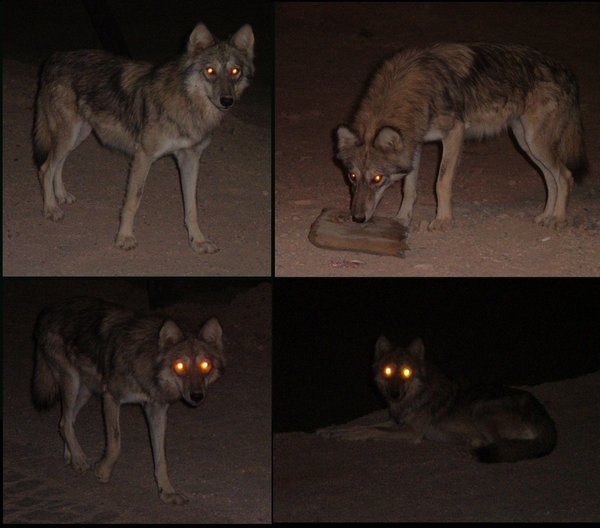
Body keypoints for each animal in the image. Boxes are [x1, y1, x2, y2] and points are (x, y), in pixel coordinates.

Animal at [32, 296, 225, 504]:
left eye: (205, 365)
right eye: (180, 366)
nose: (197, 396)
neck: (148, 365)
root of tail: (49, 309)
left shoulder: (157, 410)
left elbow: (161, 458)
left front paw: (166, 492)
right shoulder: (111, 397)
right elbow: (115, 444)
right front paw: (103, 471)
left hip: (86, 391)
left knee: (65, 422)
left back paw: (71, 455)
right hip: (72, 382)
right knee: (65, 422)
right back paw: (79, 459)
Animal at [33, 20, 253, 252]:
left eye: (235, 71)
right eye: (210, 71)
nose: (227, 101)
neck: (187, 103)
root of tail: (55, 57)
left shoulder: (191, 159)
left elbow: (192, 206)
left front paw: (198, 240)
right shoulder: (143, 156)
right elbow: (132, 202)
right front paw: (124, 237)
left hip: (77, 136)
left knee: (58, 164)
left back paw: (61, 196)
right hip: (69, 135)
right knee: (45, 168)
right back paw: (51, 208)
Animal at [318, 336, 556, 464]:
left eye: (406, 372)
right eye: (388, 371)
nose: (394, 394)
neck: (414, 395)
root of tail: (545, 417)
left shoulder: (410, 432)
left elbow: (371, 430)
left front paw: (349, 436)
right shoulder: (395, 421)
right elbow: (364, 425)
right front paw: (334, 431)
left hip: (481, 409)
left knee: (502, 445)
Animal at [336, 41, 588, 231]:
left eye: (377, 179)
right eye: (352, 177)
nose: (357, 218)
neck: (414, 91)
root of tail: (567, 71)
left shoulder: (454, 133)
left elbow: (441, 182)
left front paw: (443, 220)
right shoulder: (414, 144)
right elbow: (409, 188)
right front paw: (402, 218)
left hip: (535, 143)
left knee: (565, 176)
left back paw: (558, 219)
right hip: (526, 143)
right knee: (550, 179)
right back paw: (546, 216)